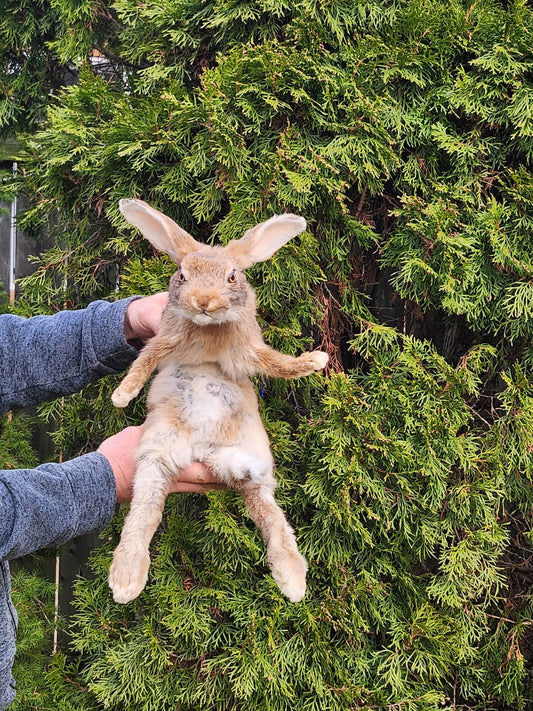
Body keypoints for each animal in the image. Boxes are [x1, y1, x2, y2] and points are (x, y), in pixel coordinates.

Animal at [109, 198, 329, 605]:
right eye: (182, 274)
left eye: (232, 277)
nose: (203, 301)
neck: (209, 331)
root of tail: (201, 450)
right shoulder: (164, 341)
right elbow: (142, 363)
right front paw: (122, 395)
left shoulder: (248, 350)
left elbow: (278, 363)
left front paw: (313, 361)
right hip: (156, 454)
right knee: (144, 511)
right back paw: (126, 579)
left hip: (250, 460)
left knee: (268, 513)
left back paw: (293, 581)